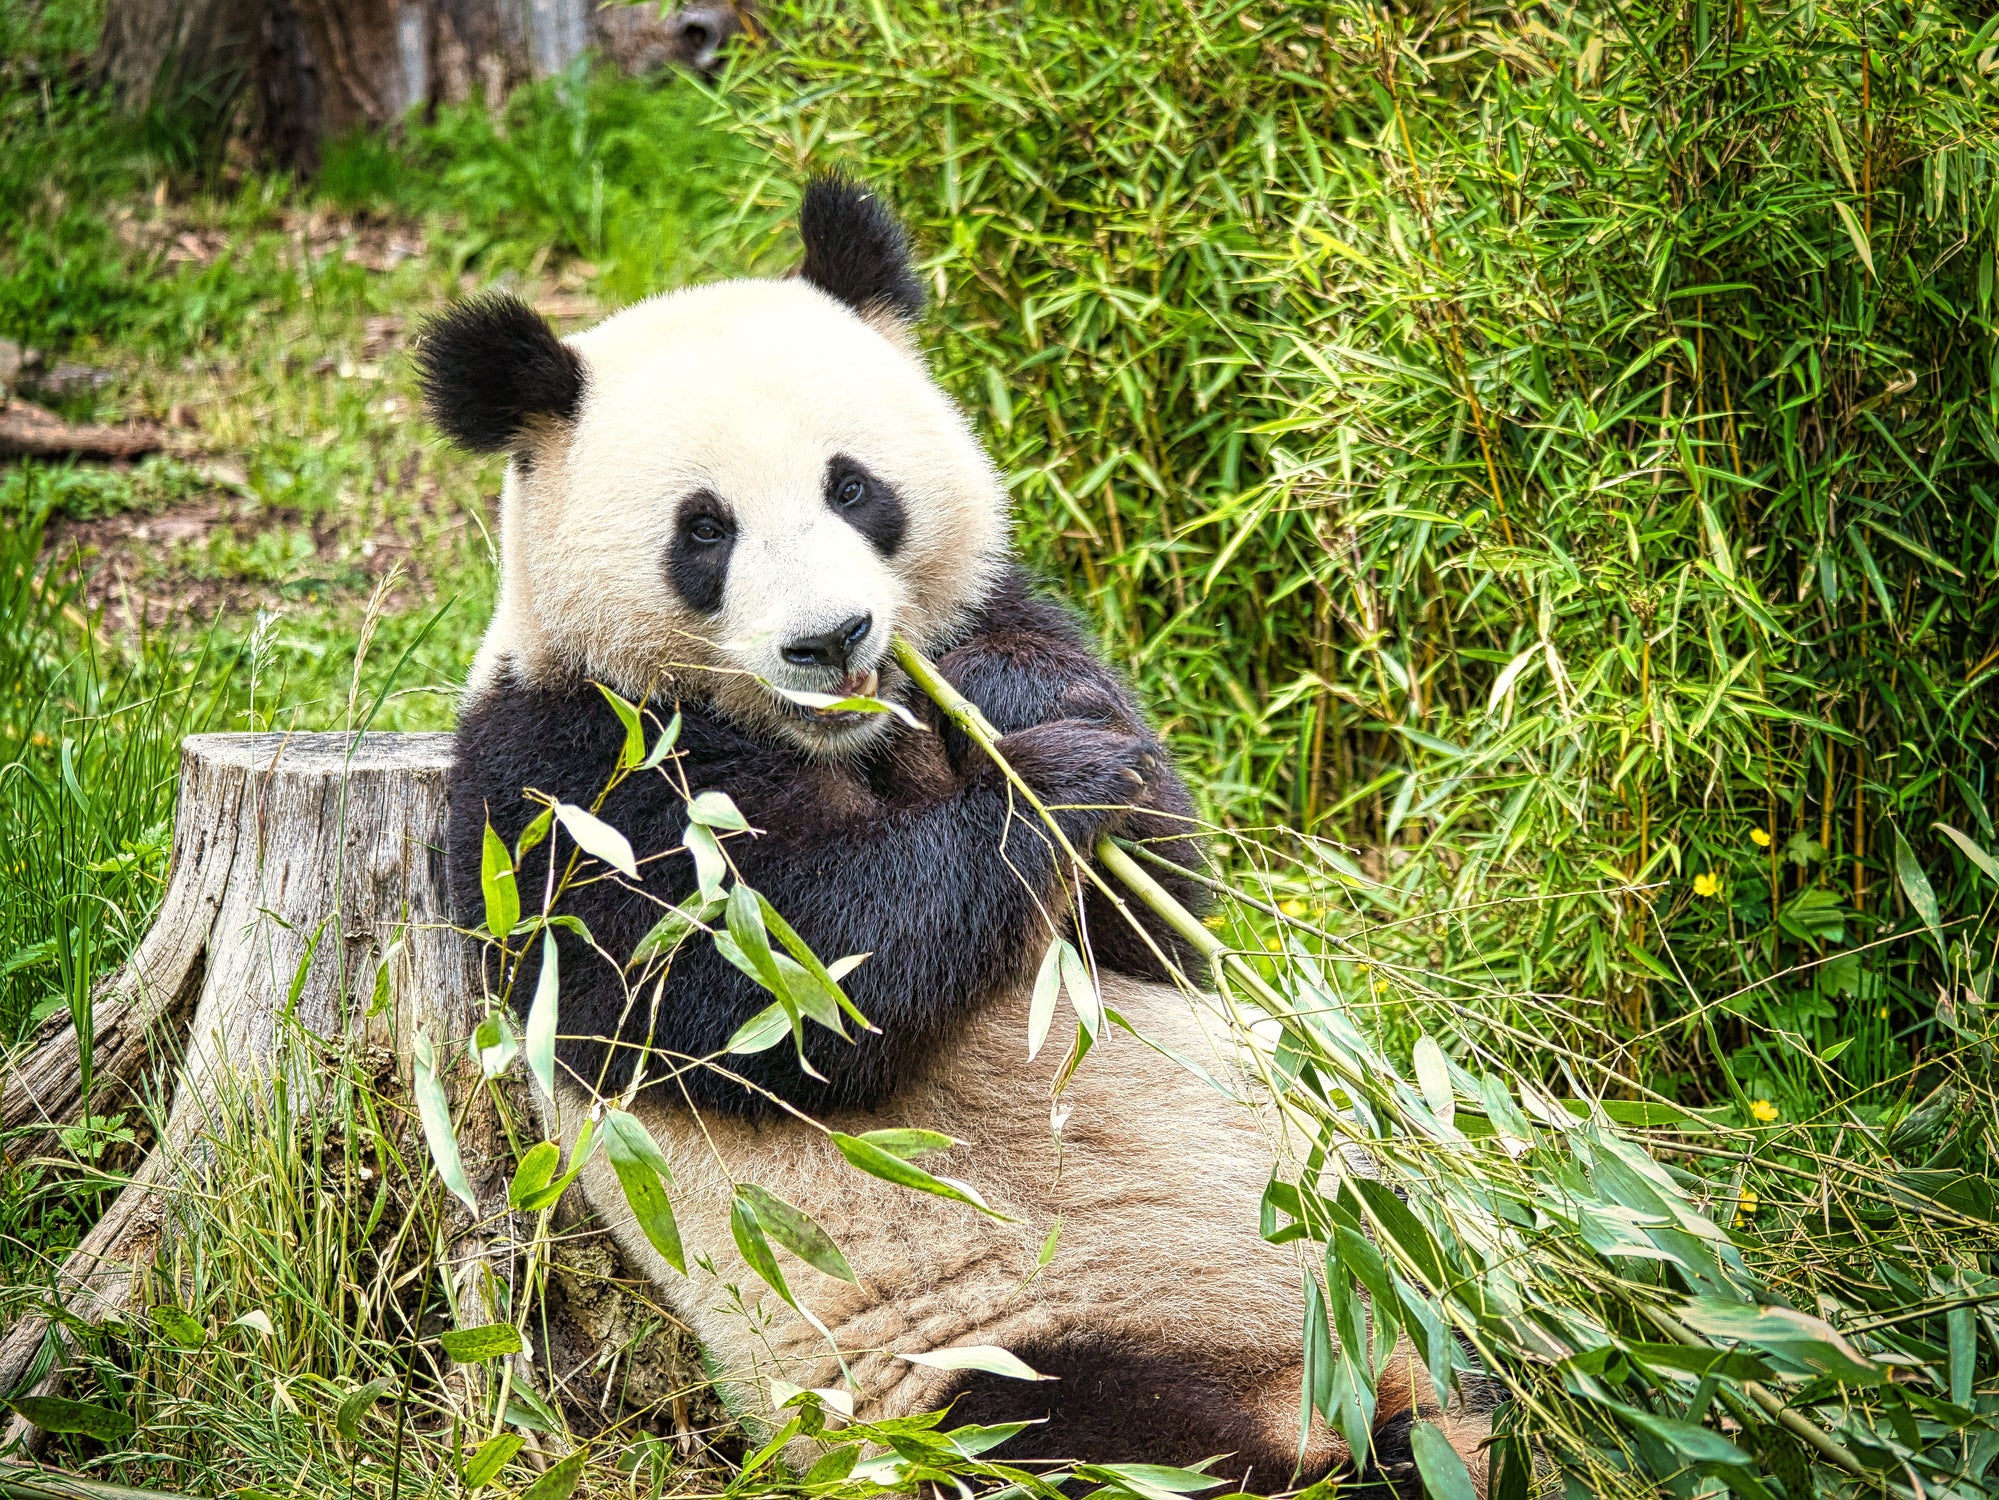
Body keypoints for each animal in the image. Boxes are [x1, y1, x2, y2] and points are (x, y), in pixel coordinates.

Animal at [422, 178, 1487, 1493]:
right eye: (704, 530)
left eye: (852, 487)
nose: (831, 638)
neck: (836, 737)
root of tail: (1329, 1392)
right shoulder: (563, 774)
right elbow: (772, 982)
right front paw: (1050, 787)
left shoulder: (997, 630)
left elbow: (1155, 919)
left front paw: (1028, 715)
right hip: (991, 1369)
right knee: (1105, 1443)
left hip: (1396, 1258)